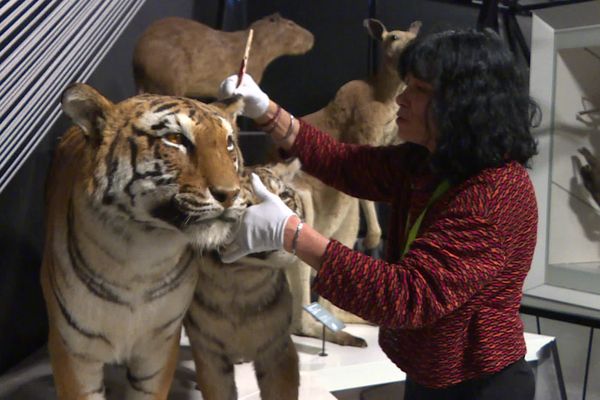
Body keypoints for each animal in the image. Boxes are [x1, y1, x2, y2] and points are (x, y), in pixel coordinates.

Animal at [41, 83, 245, 398]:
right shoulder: (73, 351)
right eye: (175, 139)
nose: (231, 194)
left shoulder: (159, 348)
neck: (141, 255)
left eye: (229, 143)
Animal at [186, 163, 304, 400]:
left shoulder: (278, 349)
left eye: (284, 196)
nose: (288, 227)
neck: (240, 283)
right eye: (245, 207)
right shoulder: (209, 356)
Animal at [282, 18, 420, 346]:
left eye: (412, 37)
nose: (413, 49)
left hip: (344, 221)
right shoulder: (363, 133)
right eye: (393, 38)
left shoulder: (391, 141)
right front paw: (374, 240)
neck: (387, 93)